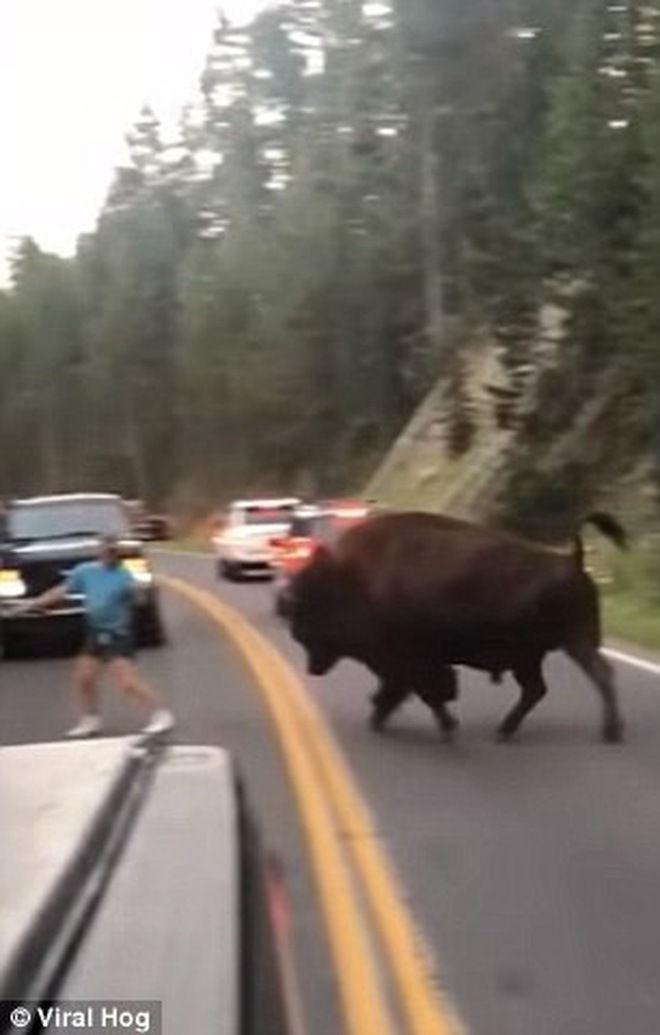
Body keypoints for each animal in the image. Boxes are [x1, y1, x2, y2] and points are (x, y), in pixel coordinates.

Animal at [286, 510, 628, 742]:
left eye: (309, 608)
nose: (312, 668)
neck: (351, 578)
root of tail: (572, 560)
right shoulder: (410, 663)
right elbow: (416, 692)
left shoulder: (411, 661)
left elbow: (424, 691)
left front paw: (443, 727)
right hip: (532, 657)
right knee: (537, 689)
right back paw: (504, 731)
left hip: (573, 642)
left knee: (598, 675)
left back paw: (610, 732)